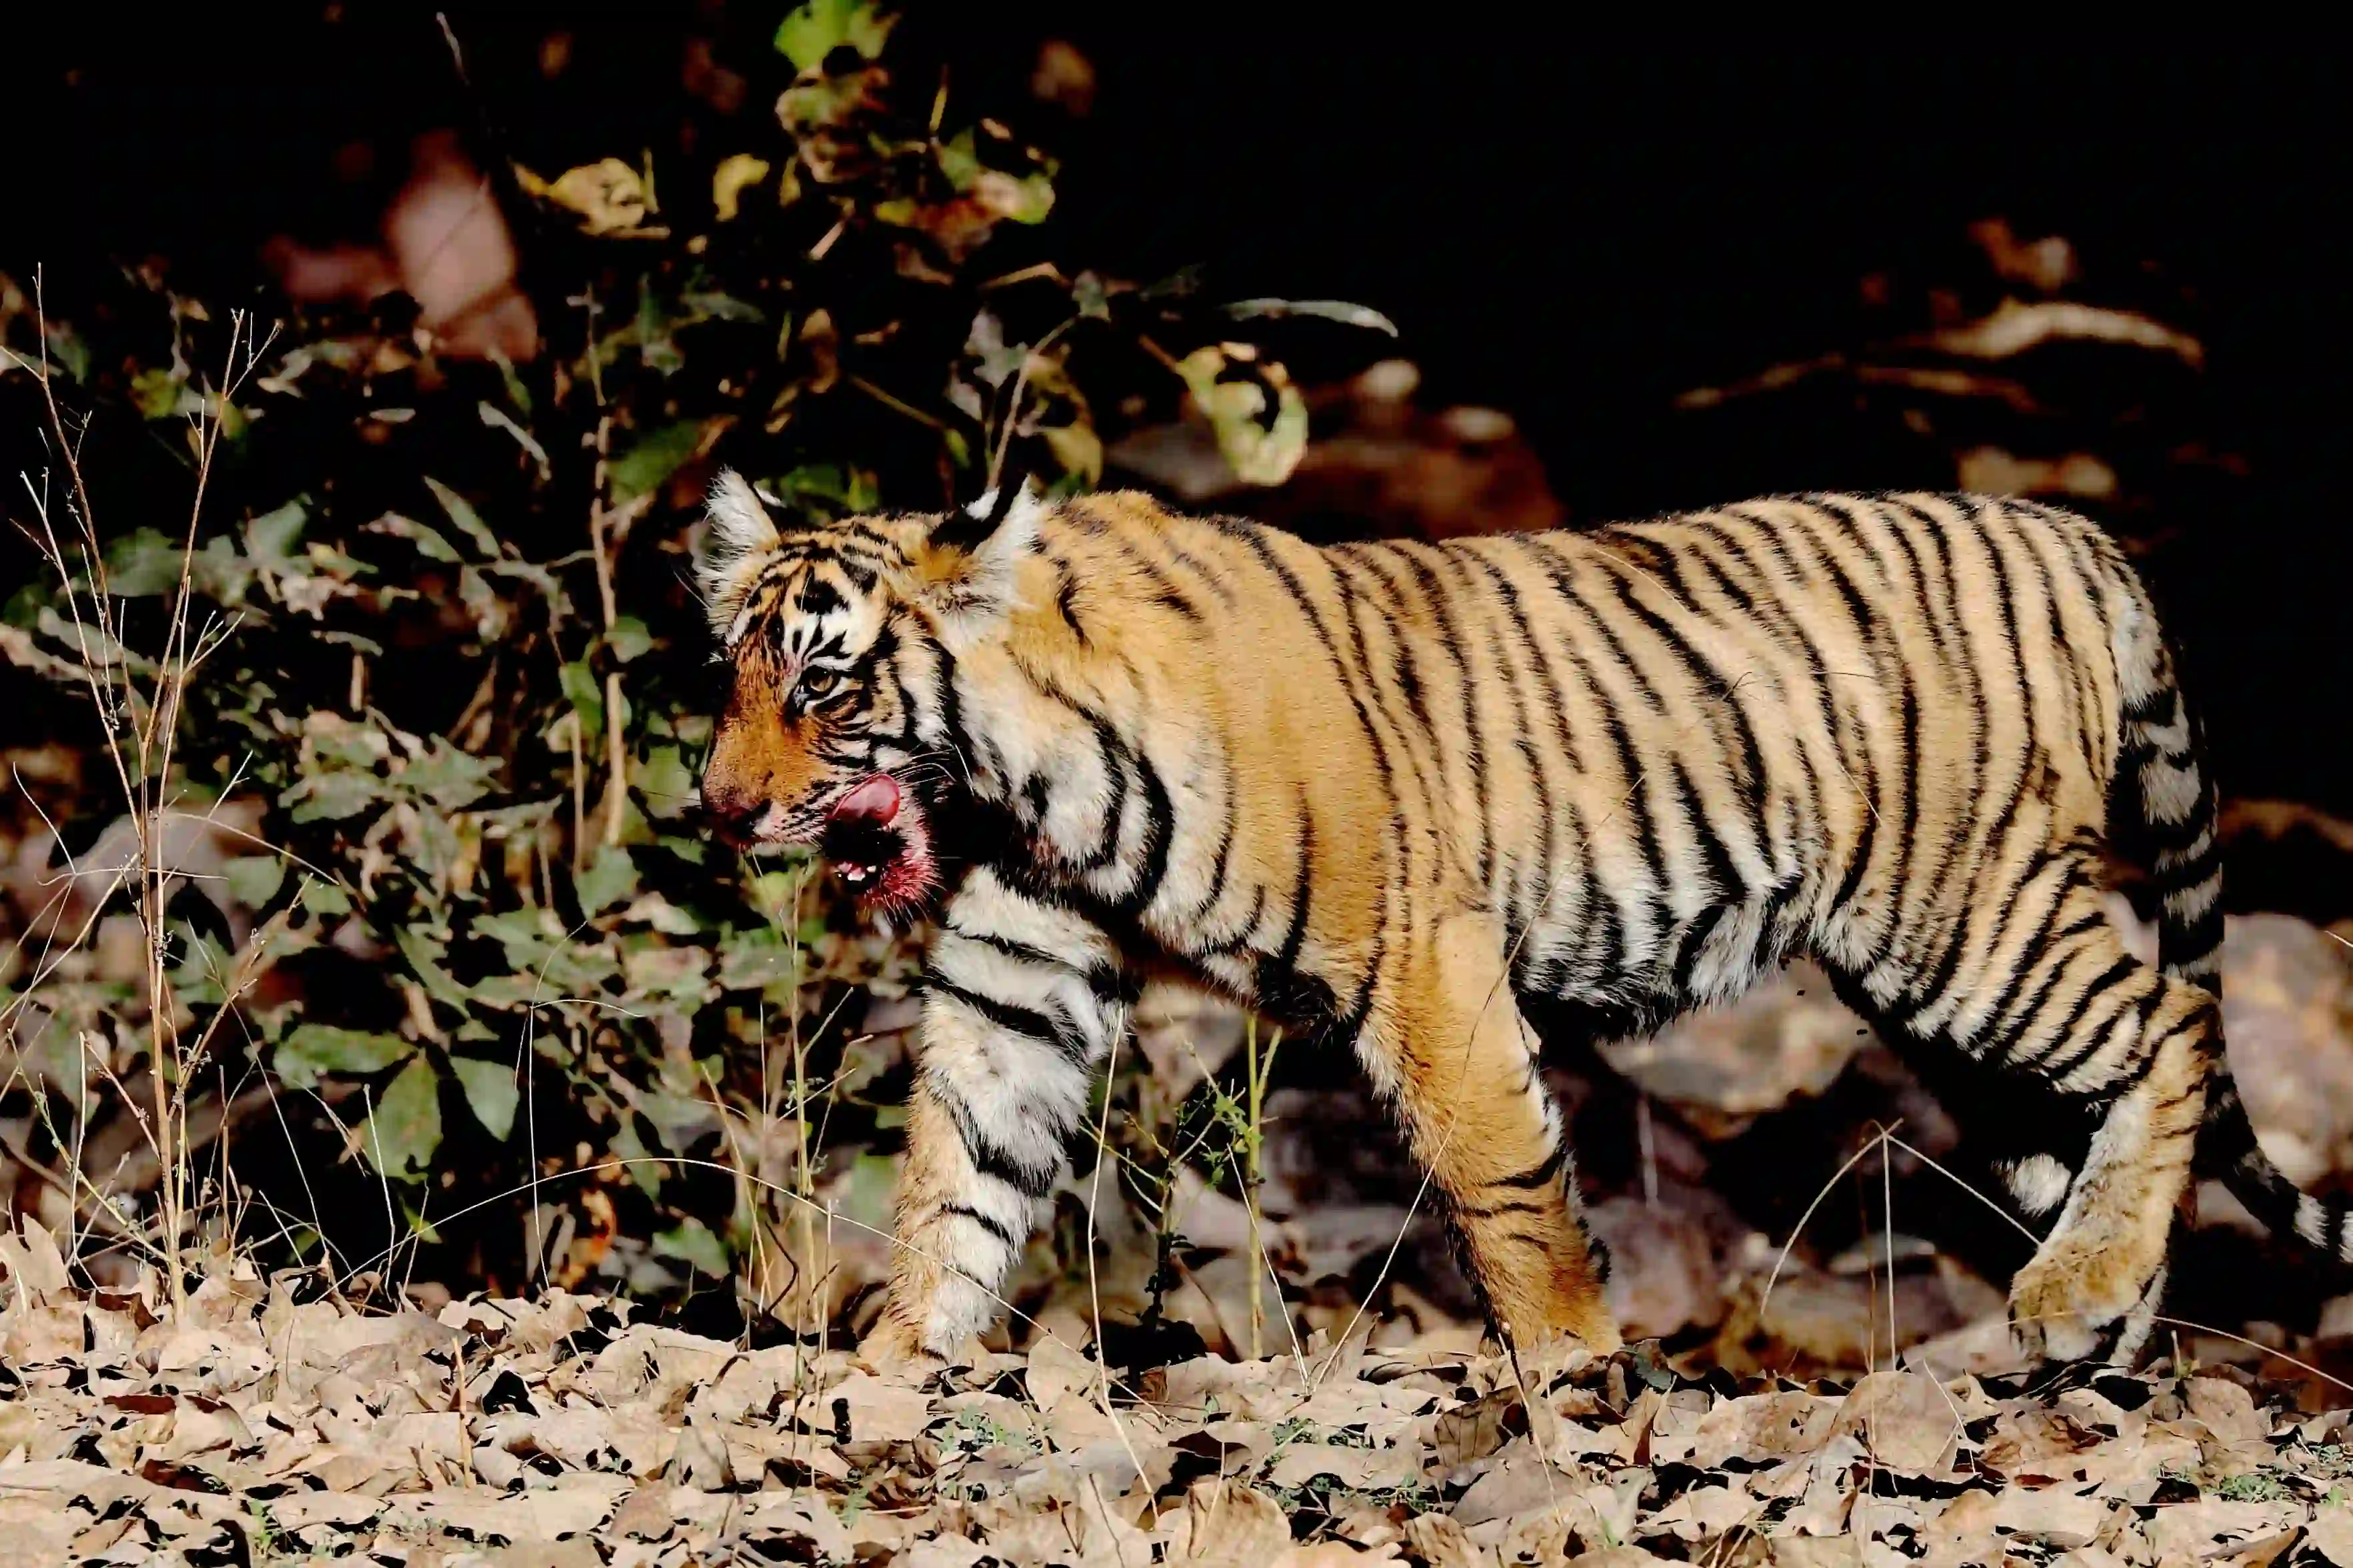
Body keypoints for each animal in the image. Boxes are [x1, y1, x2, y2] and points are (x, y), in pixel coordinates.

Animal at [691, 472, 2334, 1363]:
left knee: (2178, 1019)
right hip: (1947, 993)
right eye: (733, 670)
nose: (717, 806)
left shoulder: (1418, 952)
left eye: (824, 682)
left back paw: (2081, 1296)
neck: (1021, 782)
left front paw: (1572, 1374)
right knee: (2087, 1113)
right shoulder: (1017, 970)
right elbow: (957, 1173)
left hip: (1959, 920)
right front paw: (894, 1362)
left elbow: (1504, 1177)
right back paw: (2098, 1334)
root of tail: (2072, 532)